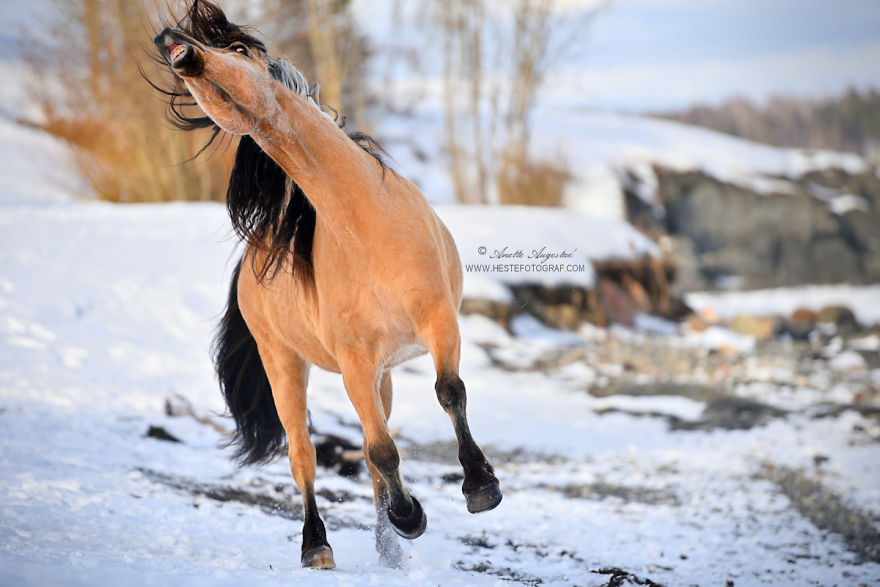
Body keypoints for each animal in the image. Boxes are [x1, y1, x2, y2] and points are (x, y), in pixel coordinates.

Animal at [152, 0, 501, 569]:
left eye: (238, 48)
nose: (171, 43)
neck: (369, 232)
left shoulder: (438, 322)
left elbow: (448, 393)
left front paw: (479, 488)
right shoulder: (355, 361)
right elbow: (381, 449)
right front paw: (412, 518)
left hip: (383, 373)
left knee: (368, 448)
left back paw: (388, 550)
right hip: (284, 363)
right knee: (305, 455)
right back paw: (318, 546)